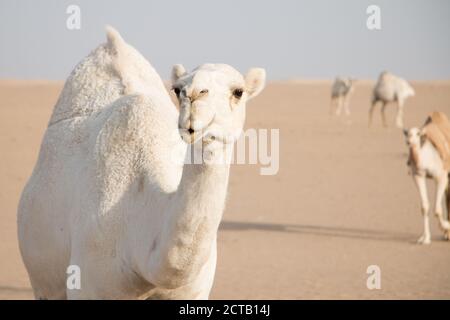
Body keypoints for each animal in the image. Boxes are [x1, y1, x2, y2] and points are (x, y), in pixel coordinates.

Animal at [404, 111, 450, 244]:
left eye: (418, 134)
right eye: (407, 133)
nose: (408, 141)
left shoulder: (441, 176)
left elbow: (437, 209)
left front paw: (446, 226)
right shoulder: (418, 176)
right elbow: (424, 207)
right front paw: (425, 239)